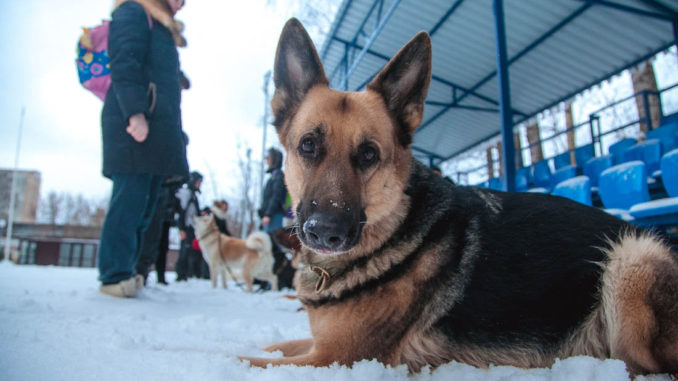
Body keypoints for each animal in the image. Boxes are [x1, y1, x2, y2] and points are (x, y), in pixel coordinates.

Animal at [240, 17, 678, 374]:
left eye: (368, 155)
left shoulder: (334, 357)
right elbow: (272, 345)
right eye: (308, 145)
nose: (325, 232)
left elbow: (245, 359)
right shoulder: (317, 345)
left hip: (631, 257)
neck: (391, 230)